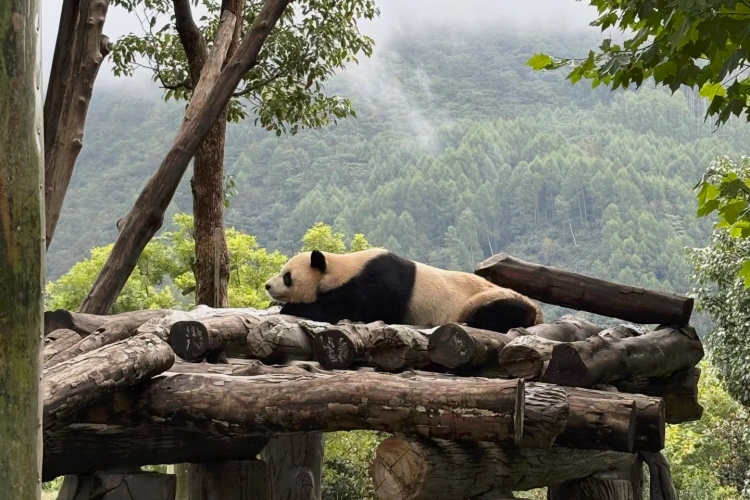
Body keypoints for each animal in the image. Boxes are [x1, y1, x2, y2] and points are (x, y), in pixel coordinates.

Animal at [264, 248, 543, 333]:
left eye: (287, 277)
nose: (267, 285)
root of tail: (540, 315)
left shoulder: (376, 284)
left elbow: (354, 309)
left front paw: (291, 306)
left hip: (489, 298)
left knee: (494, 311)